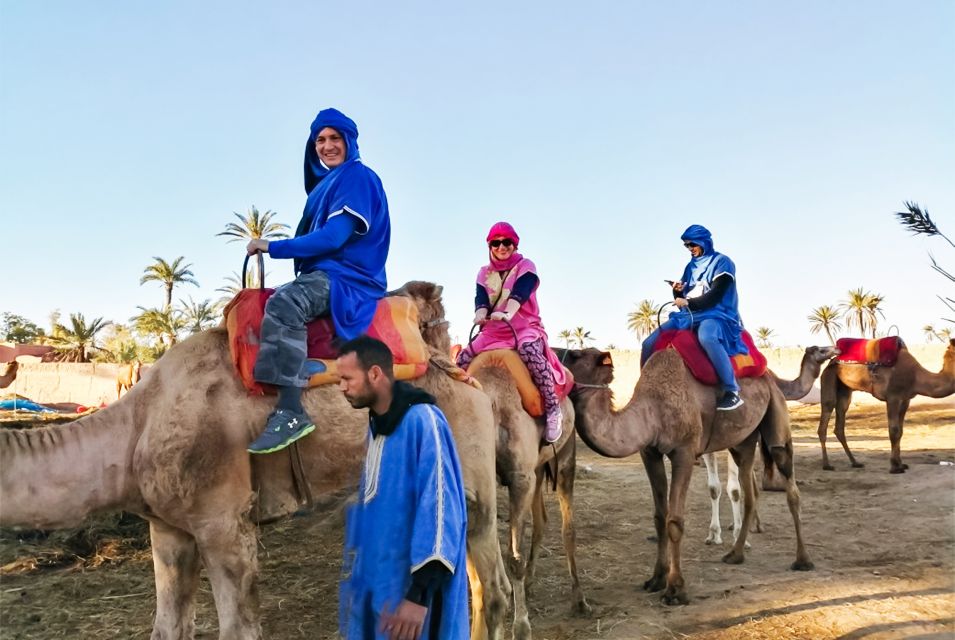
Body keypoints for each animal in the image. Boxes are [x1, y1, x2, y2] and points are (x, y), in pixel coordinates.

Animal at [0, 282, 512, 640]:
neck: (135, 426)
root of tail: (460, 372)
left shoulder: (225, 522)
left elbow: (239, 628)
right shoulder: (167, 528)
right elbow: (168, 627)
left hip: (473, 476)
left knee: (493, 586)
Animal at [560, 350, 816, 604]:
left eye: (574, 355)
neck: (653, 407)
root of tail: (770, 378)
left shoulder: (684, 451)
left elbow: (674, 521)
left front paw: (675, 589)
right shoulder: (649, 452)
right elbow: (659, 517)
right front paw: (656, 579)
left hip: (776, 416)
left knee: (789, 482)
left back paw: (803, 560)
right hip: (742, 440)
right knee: (749, 490)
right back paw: (735, 554)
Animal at [700, 344, 840, 544]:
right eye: (821, 350)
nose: (836, 349)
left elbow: (736, 485)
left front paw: (738, 529)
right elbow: (721, 487)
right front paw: (719, 532)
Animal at [816, 338, 952, 472]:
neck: (915, 377)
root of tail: (831, 361)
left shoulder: (905, 400)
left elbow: (900, 431)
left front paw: (901, 464)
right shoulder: (893, 397)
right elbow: (894, 430)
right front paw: (895, 467)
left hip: (845, 390)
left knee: (840, 422)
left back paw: (855, 462)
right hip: (828, 377)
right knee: (826, 413)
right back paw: (826, 465)